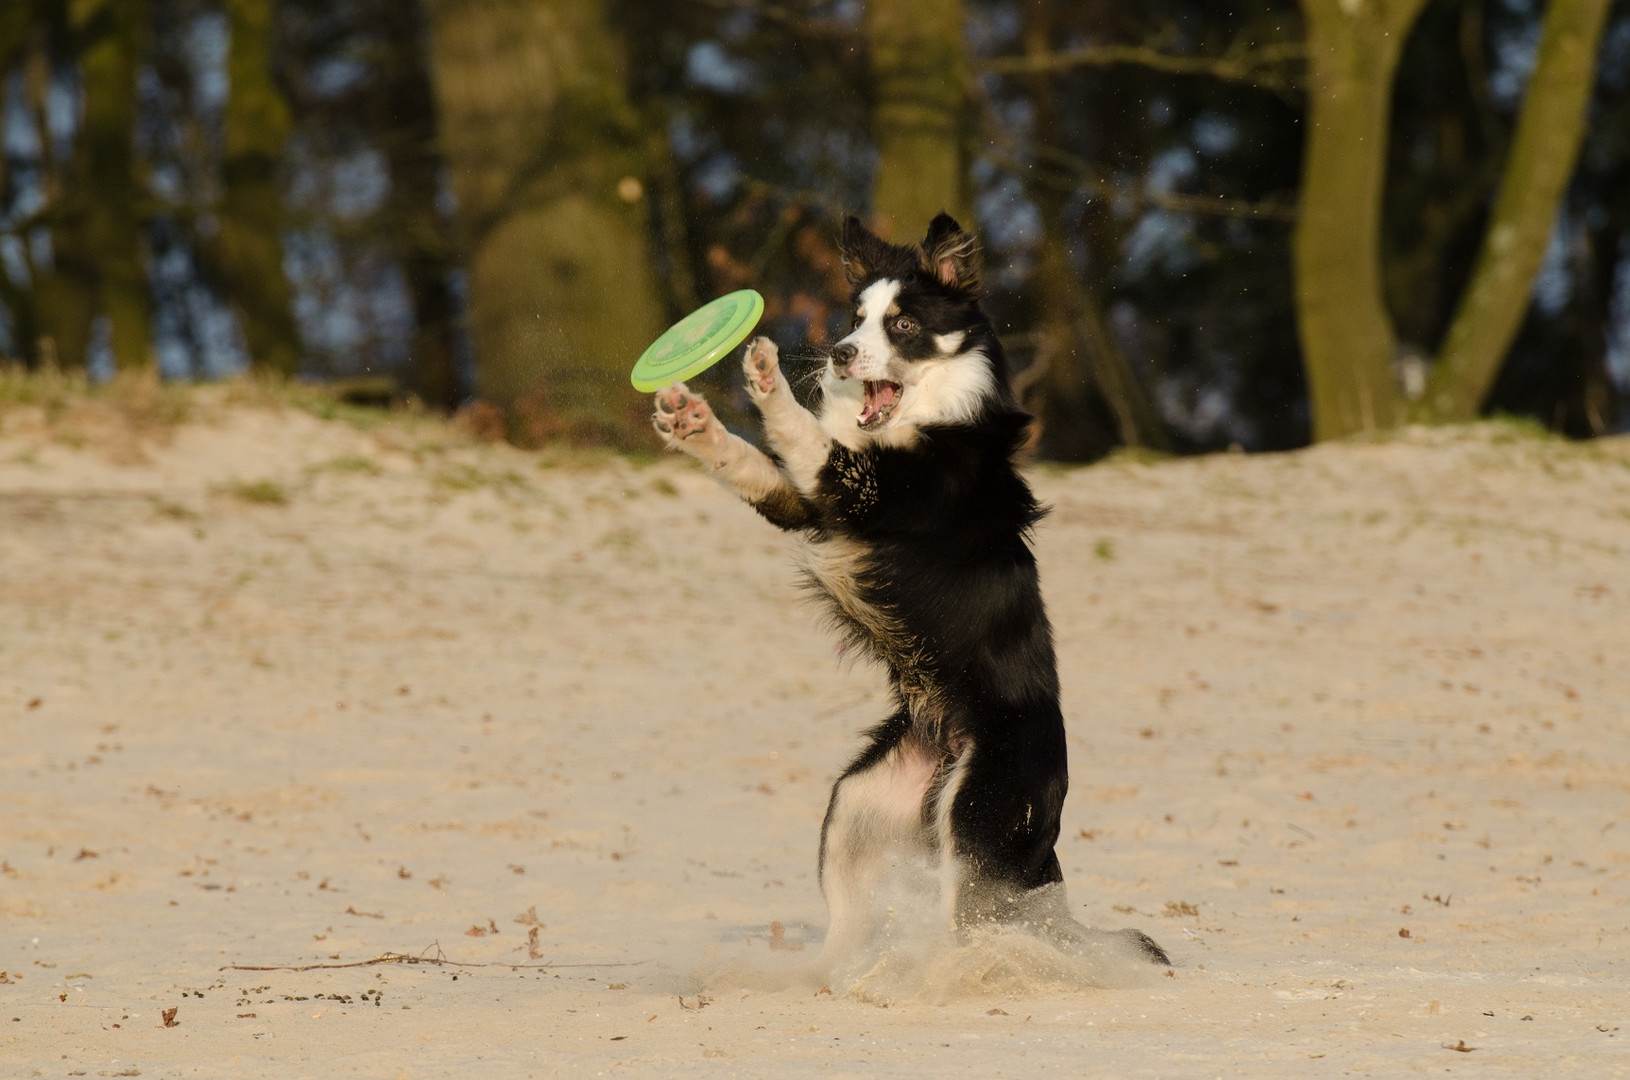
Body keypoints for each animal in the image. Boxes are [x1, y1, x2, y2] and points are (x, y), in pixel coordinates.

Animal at [652, 213, 1173, 970]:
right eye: (855, 319)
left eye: (902, 324)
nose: (840, 355)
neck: (923, 419)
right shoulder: (812, 504)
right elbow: (754, 463)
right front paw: (697, 424)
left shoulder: (866, 491)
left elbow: (801, 435)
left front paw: (768, 380)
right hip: (856, 808)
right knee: (851, 924)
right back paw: (830, 977)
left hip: (979, 819)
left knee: (980, 928)